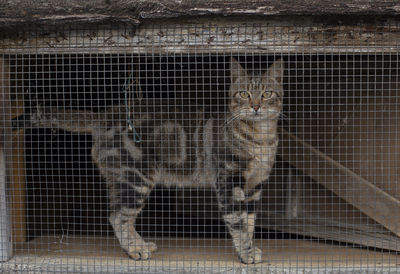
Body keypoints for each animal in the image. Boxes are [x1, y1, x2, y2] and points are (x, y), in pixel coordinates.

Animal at [21, 57, 284, 264]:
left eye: (267, 93)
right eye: (244, 94)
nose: (256, 106)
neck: (262, 139)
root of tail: (102, 116)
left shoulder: (254, 186)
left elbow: (249, 221)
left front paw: (250, 247)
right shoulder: (229, 181)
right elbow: (237, 222)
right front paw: (246, 254)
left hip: (121, 180)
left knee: (119, 214)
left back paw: (140, 244)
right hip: (137, 178)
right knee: (119, 216)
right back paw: (135, 250)